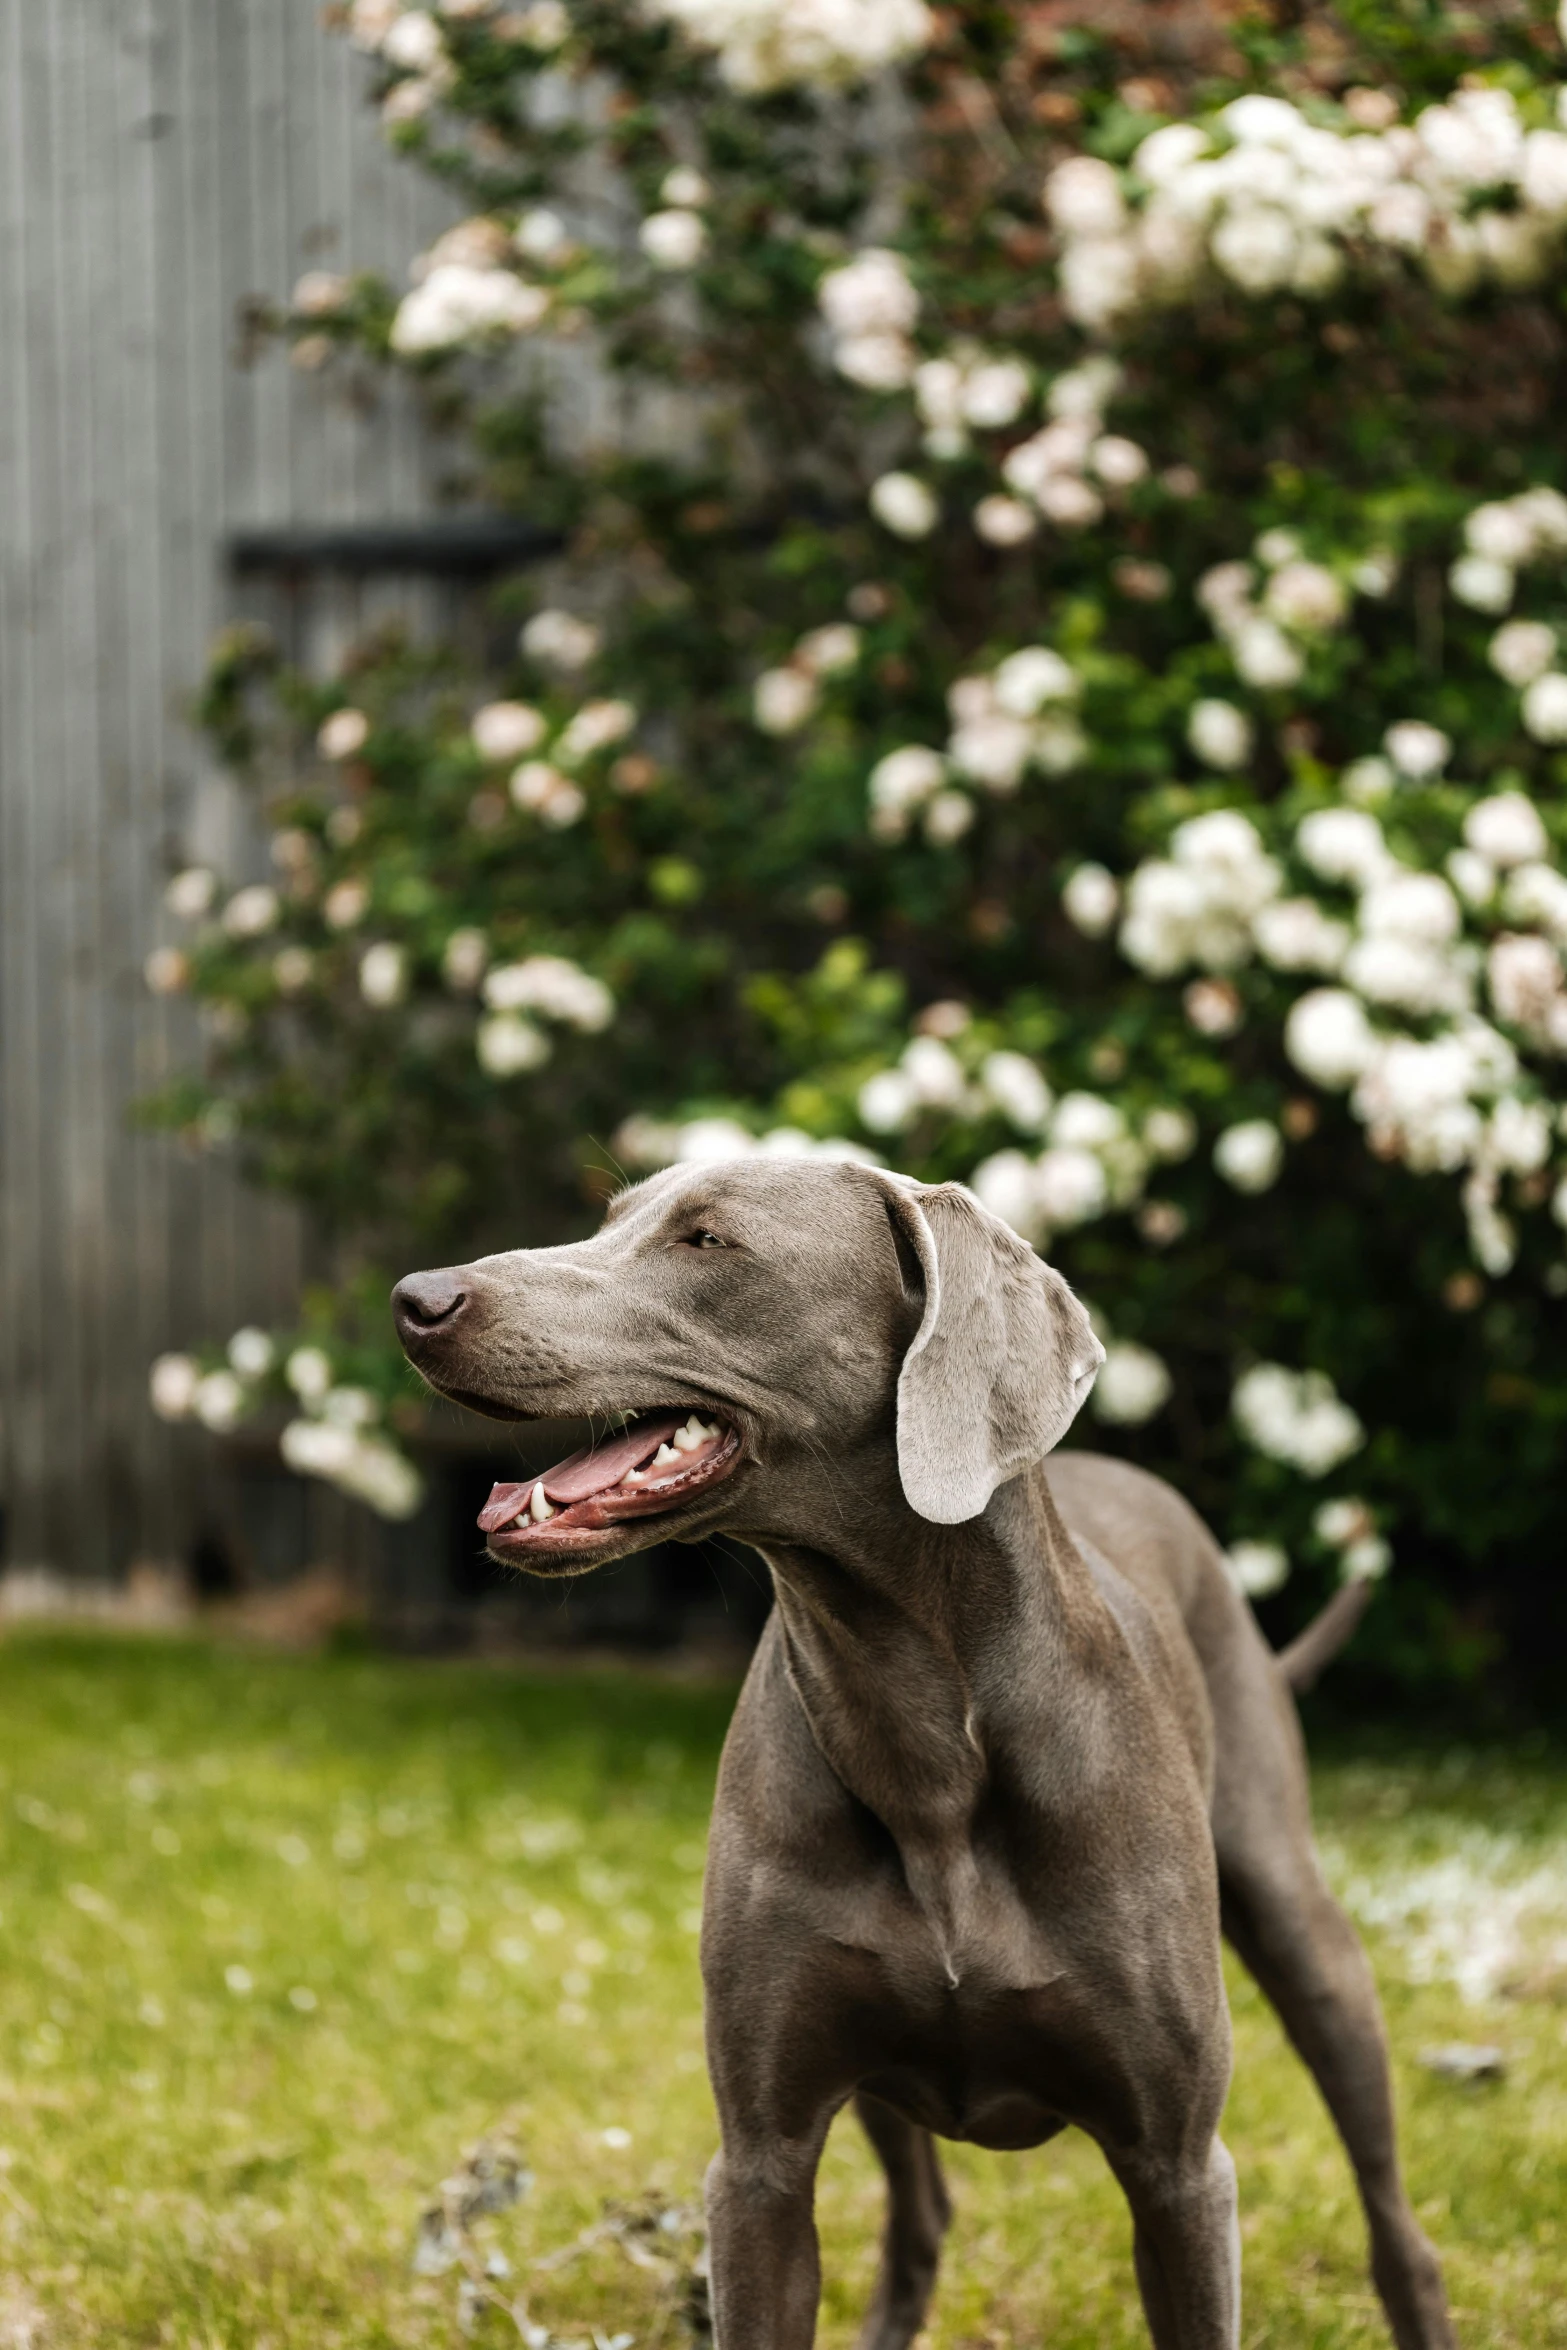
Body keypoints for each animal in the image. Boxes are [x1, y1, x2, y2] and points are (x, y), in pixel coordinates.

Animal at [394, 1156, 1456, 2350]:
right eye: (610, 1218)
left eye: (707, 1240)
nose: (417, 1297)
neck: (923, 1740)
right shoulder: (759, 2159)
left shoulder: (1179, 2166)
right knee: (920, 2218)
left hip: (1297, 1922)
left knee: (1390, 2209)